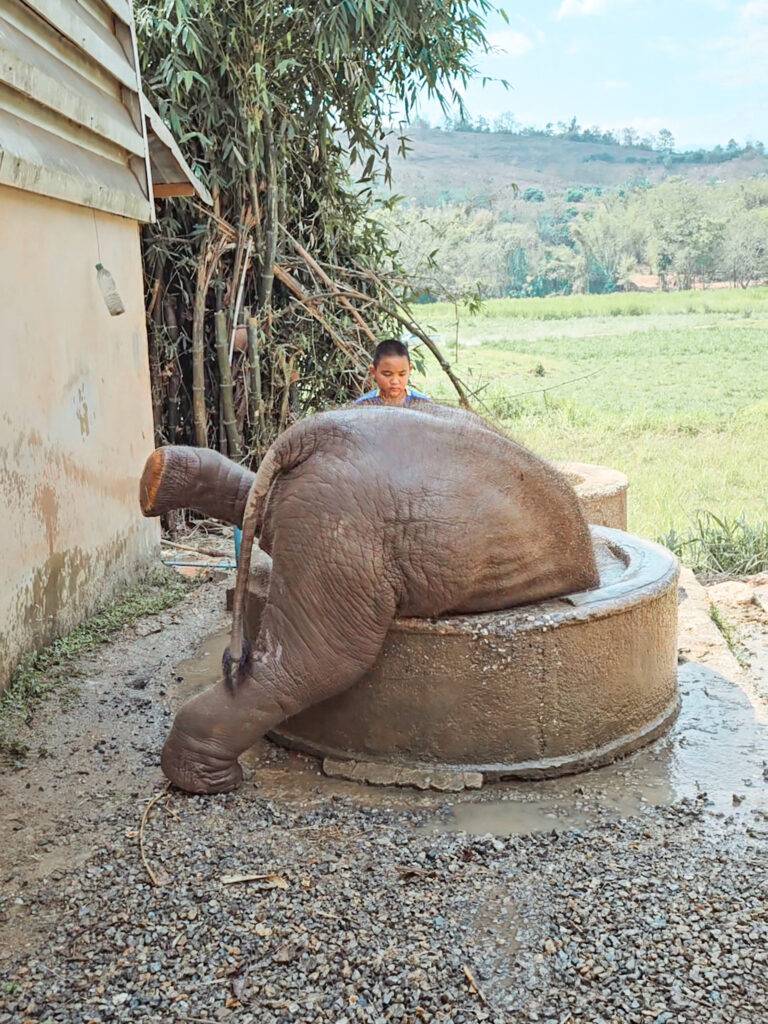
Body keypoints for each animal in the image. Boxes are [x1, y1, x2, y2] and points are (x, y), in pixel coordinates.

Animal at [140, 404, 599, 794]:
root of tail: (312, 432)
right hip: (343, 526)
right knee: (321, 661)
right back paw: (214, 782)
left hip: (325, 516)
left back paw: (159, 475)